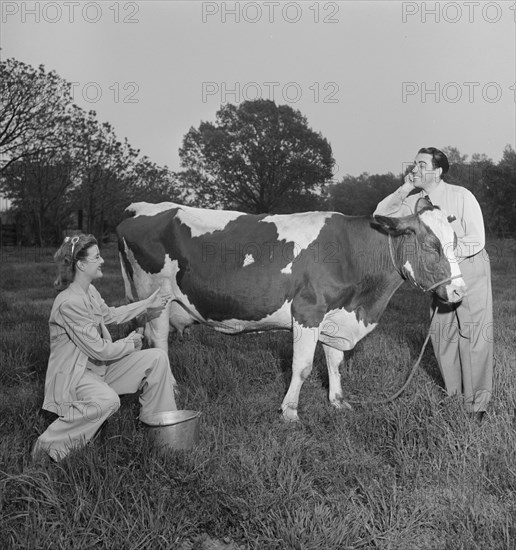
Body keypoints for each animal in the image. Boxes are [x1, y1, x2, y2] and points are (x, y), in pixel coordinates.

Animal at [118, 203, 468, 422]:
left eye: (456, 242)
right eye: (431, 246)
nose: (459, 292)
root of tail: (140, 208)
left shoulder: (335, 316)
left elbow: (335, 363)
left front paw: (338, 402)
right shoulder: (308, 311)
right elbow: (302, 367)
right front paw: (289, 411)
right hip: (156, 298)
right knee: (160, 344)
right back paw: (172, 387)